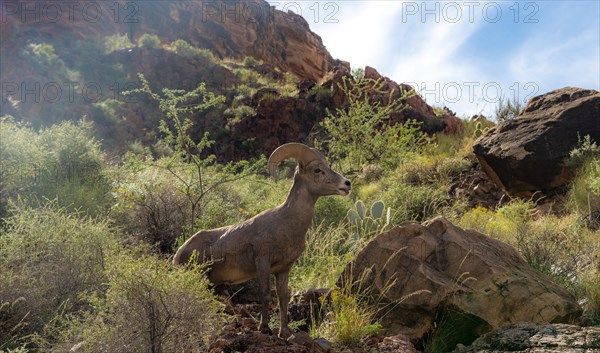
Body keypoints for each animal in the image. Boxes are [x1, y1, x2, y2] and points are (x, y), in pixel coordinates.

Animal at [173, 142, 350, 336]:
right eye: (317, 170)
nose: (347, 184)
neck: (287, 222)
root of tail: (179, 253)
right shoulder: (262, 263)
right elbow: (265, 295)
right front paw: (264, 328)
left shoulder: (283, 269)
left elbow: (282, 297)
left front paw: (284, 332)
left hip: (214, 285)